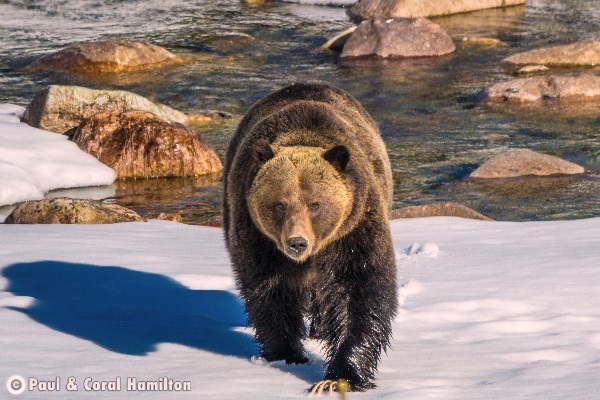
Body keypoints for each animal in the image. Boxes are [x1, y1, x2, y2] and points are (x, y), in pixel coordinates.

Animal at [223, 83, 396, 392]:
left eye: (315, 204)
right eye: (280, 203)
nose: (297, 242)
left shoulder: (354, 230)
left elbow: (360, 291)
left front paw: (339, 376)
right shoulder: (258, 238)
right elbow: (269, 292)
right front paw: (286, 354)